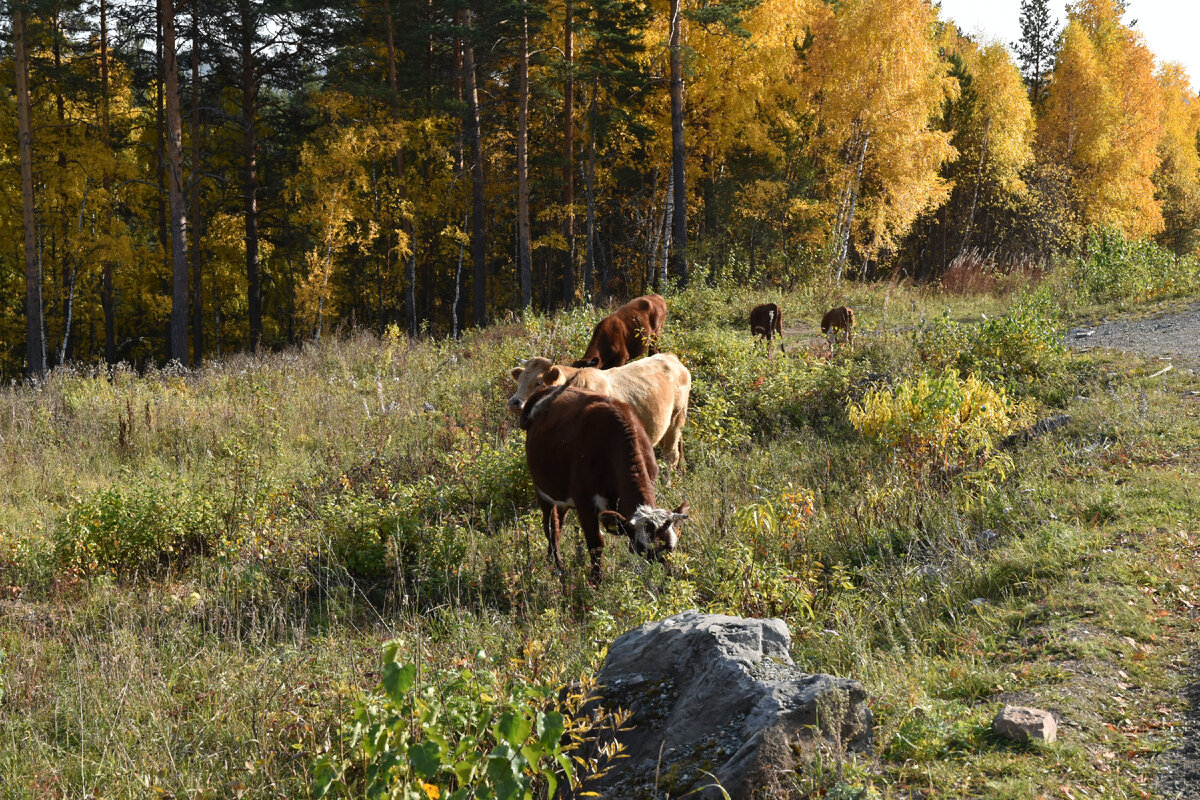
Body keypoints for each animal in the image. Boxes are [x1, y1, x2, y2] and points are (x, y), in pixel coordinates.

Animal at [520, 383, 691, 585]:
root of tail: (546, 389)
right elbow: (596, 543)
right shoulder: (584, 501)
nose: (663, 582)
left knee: (559, 523)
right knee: (550, 526)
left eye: (671, 548)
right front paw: (596, 582)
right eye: (642, 550)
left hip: (561, 493)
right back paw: (558, 567)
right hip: (541, 489)